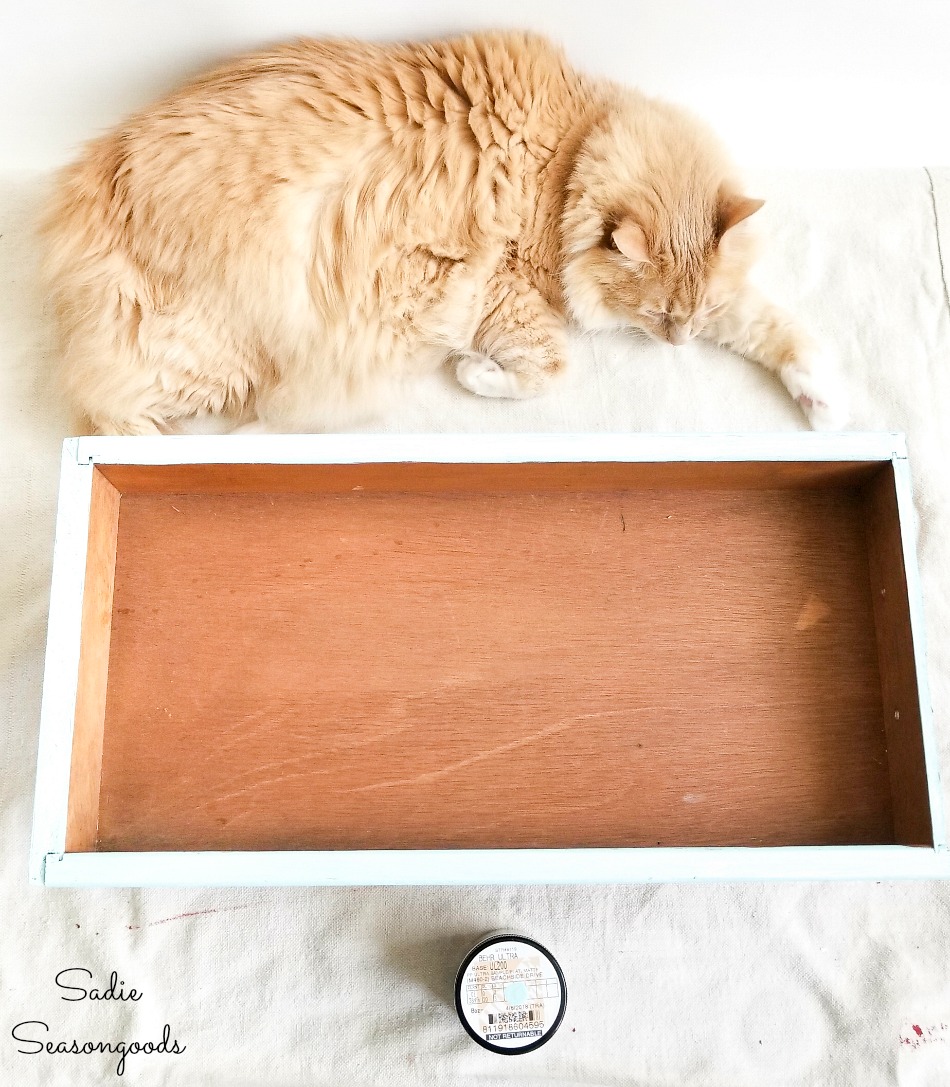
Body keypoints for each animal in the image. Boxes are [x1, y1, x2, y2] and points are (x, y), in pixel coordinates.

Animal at [40, 28, 847, 432]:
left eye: (691, 317)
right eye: (655, 315)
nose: (676, 344)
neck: (567, 155)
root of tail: (99, 180)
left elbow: (772, 326)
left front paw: (823, 395)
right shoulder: (488, 287)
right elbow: (547, 368)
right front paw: (475, 374)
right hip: (207, 359)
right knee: (104, 408)